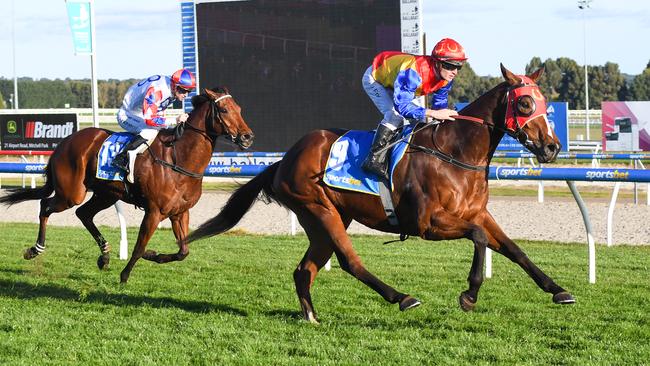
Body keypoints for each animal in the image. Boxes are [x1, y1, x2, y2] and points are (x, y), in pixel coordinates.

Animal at [0, 86, 253, 284]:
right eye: (224, 110)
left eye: (240, 109)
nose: (247, 137)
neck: (178, 158)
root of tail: (65, 142)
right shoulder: (154, 211)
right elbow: (140, 246)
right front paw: (125, 275)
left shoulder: (180, 212)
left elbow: (183, 250)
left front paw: (154, 255)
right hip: (72, 193)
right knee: (46, 206)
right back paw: (35, 249)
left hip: (106, 194)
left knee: (84, 214)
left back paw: (104, 256)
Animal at [182, 64, 572, 322]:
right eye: (524, 104)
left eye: (546, 103)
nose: (552, 147)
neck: (455, 152)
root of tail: (284, 159)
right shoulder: (430, 224)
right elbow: (477, 238)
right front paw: (470, 295)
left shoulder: (478, 213)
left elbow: (514, 249)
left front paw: (559, 290)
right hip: (320, 209)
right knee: (349, 261)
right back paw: (402, 297)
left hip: (326, 218)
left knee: (305, 269)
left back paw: (312, 317)